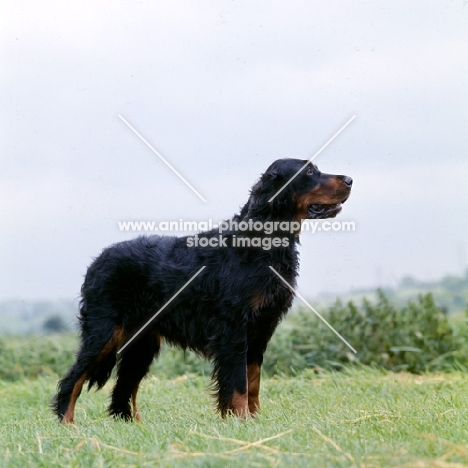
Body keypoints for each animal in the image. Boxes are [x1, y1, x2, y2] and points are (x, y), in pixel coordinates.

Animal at [52, 158, 352, 424]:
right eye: (309, 171)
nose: (350, 179)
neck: (260, 243)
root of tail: (97, 261)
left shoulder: (260, 329)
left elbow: (253, 379)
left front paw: (254, 420)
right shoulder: (233, 329)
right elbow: (238, 382)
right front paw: (240, 420)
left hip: (143, 342)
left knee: (124, 386)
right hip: (105, 331)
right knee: (73, 378)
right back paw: (67, 423)